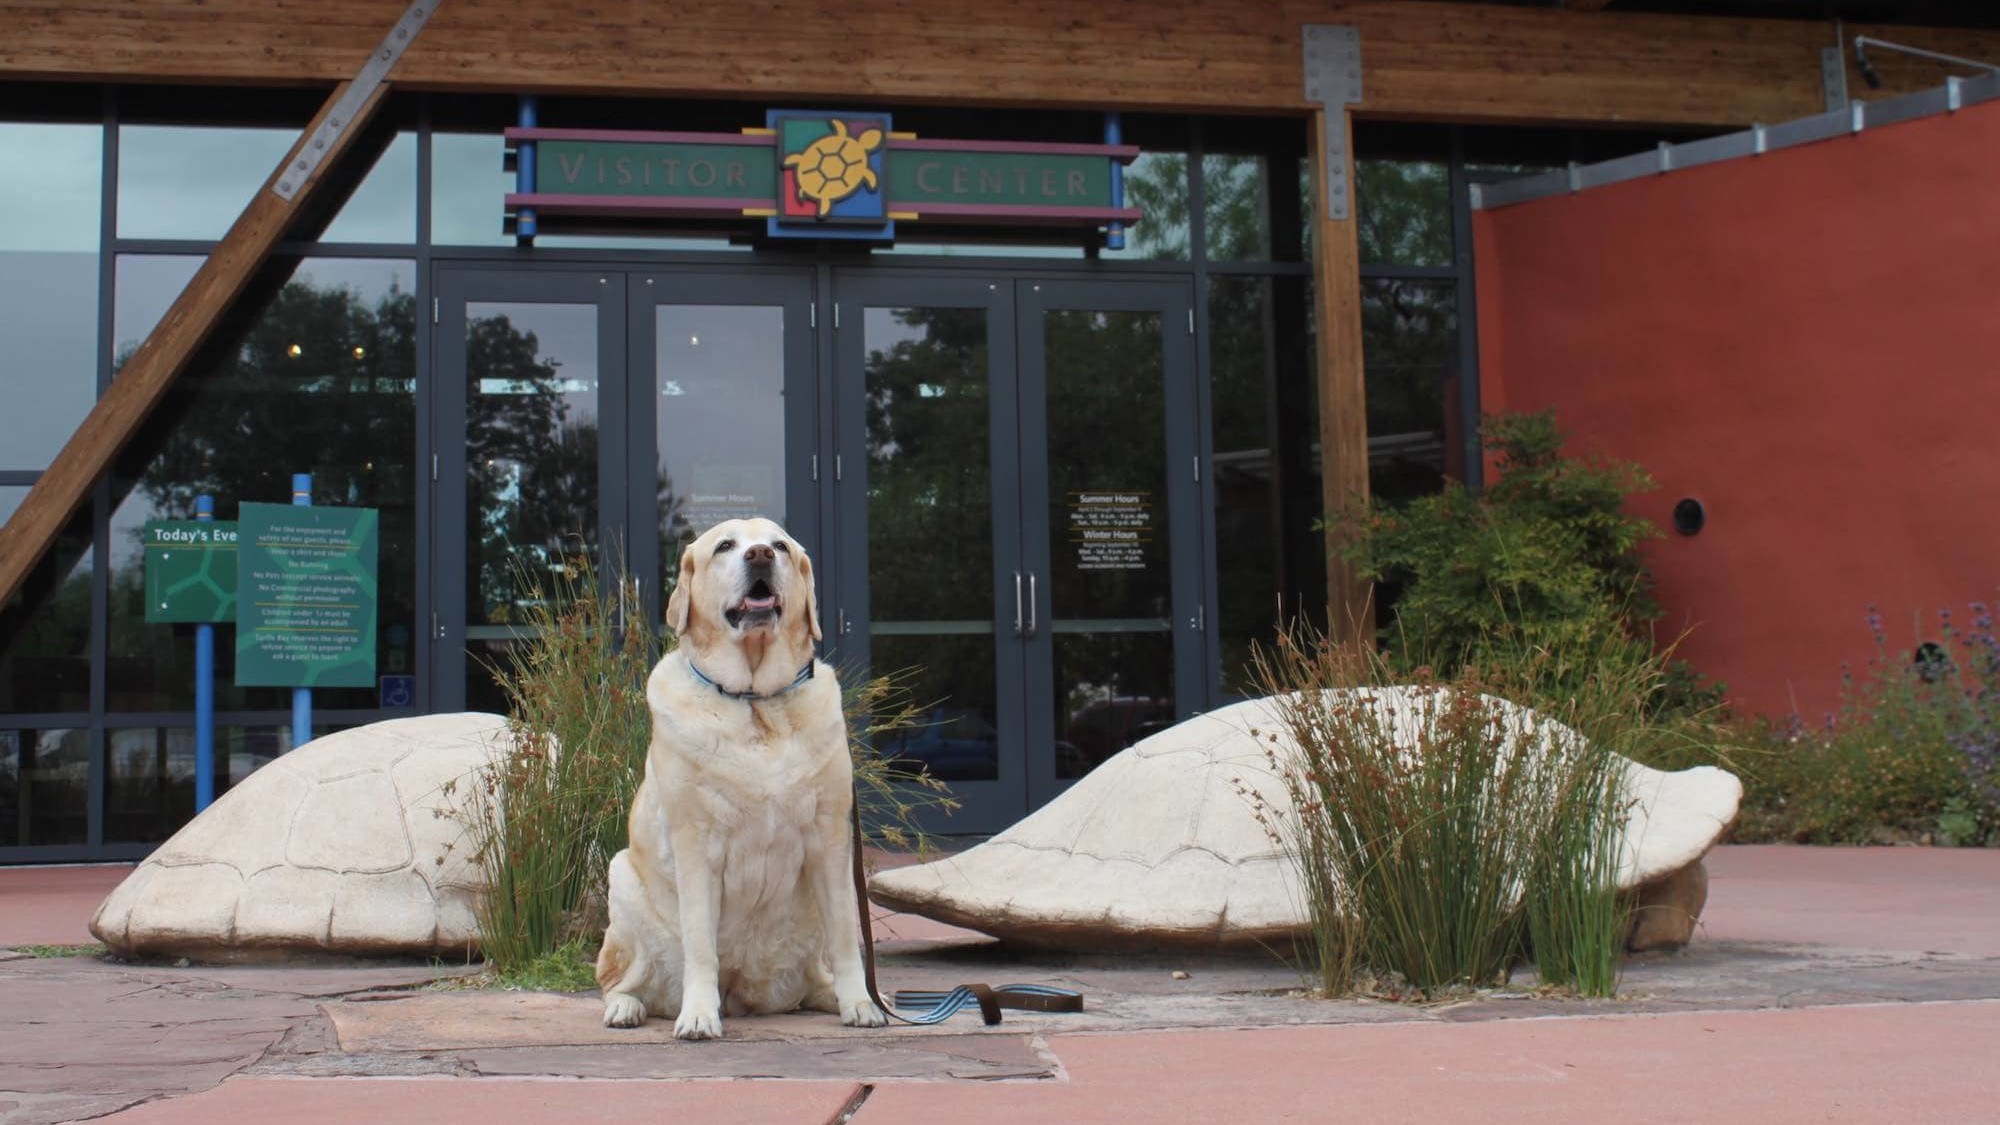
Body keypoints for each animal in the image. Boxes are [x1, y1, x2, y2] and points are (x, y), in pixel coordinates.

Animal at [596, 516, 888, 1032]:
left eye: (780, 547)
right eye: (725, 546)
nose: (760, 556)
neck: (755, 702)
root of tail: (739, 993)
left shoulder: (831, 841)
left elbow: (846, 940)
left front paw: (860, 1003)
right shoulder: (696, 847)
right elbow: (700, 943)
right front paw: (698, 1015)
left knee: (816, 976)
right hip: (623, 883)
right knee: (619, 979)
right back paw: (627, 1007)